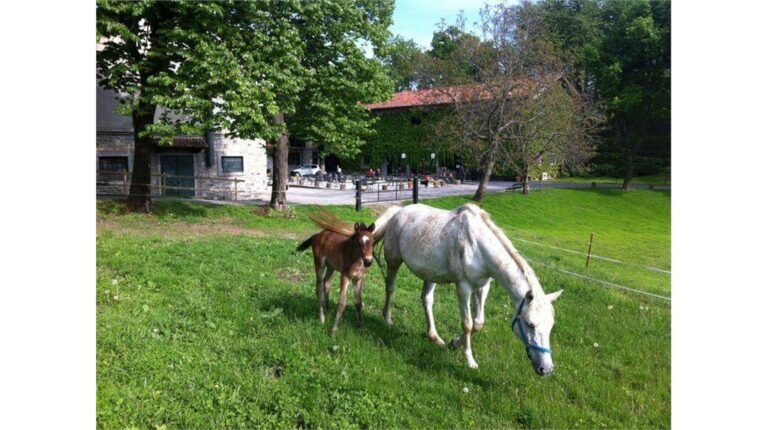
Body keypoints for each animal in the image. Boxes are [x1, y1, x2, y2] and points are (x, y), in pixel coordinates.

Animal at [372, 203, 562, 375]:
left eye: (551, 326)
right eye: (530, 324)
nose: (546, 369)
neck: (477, 245)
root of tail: (398, 211)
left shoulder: (483, 287)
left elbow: (478, 323)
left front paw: (454, 343)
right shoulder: (463, 287)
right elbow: (467, 324)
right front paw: (470, 360)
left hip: (430, 274)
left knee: (426, 300)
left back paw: (435, 337)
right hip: (393, 262)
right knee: (390, 289)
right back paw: (387, 319)